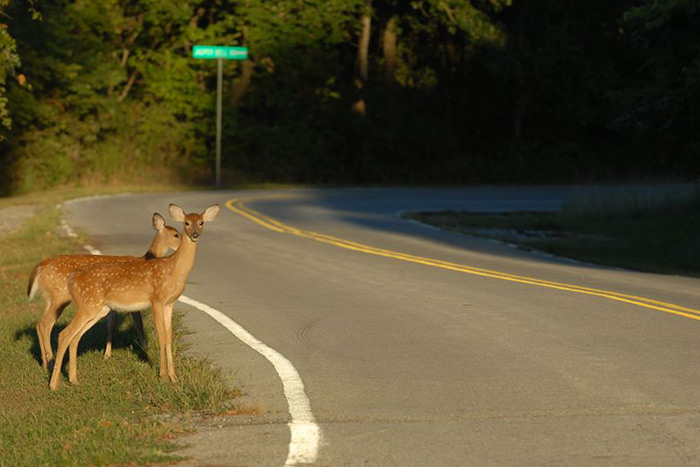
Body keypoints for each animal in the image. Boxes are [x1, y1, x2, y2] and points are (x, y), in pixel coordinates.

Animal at [27, 214, 182, 372]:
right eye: (176, 234)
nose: (183, 243)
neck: (146, 258)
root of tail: (42, 266)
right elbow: (139, 325)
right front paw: (146, 351)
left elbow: (111, 325)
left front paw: (107, 354)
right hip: (60, 296)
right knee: (46, 324)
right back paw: (51, 363)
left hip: (51, 298)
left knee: (40, 324)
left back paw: (45, 363)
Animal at [50, 203, 219, 390]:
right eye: (186, 223)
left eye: (201, 222)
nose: (194, 234)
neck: (174, 270)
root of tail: (72, 279)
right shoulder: (156, 300)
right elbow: (161, 335)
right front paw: (163, 376)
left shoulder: (170, 303)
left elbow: (169, 336)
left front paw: (174, 377)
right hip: (88, 305)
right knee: (64, 334)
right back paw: (53, 385)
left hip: (99, 308)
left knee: (75, 337)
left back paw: (74, 380)